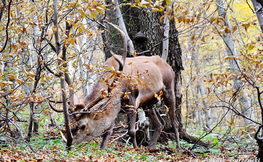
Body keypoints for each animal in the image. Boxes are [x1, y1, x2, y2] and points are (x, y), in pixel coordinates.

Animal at [65, 21, 182, 149]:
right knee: (160, 123)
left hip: (169, 88)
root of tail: (168, 66)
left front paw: (135, 148)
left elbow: (132, 131)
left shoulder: (132, 99)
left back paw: (178, 147)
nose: (68, 145)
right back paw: (150, 147)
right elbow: (108, 131)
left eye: (83, 126)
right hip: (149, 103)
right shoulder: (117, 105)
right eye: (70, 124)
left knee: (174, 122)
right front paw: (102, 148)